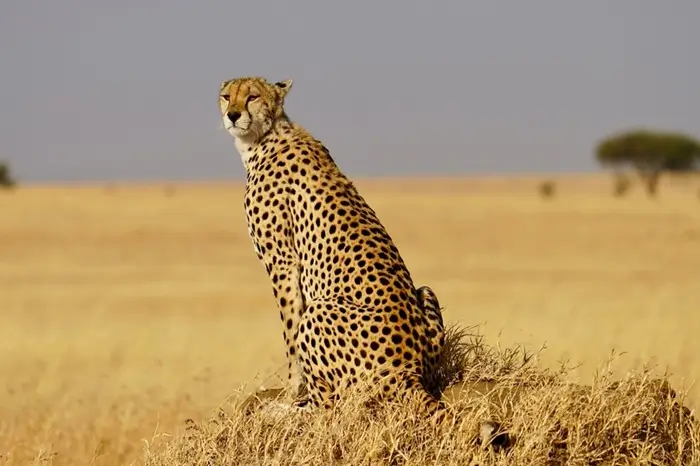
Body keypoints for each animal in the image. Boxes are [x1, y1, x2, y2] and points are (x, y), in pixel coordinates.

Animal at [218, 76, 450, 421]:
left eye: (253, 97)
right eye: (226, 96)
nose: (232, 115)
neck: (264, 138)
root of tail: (409, 371)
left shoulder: (281, 262)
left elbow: (289, 333)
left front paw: (289, 393)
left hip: (319, 310)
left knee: (327, 408)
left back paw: (280, 411)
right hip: (426, 293)